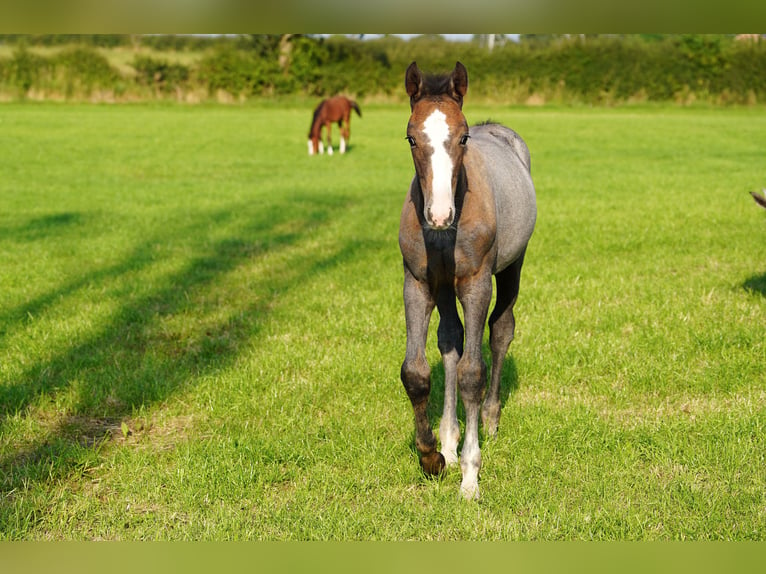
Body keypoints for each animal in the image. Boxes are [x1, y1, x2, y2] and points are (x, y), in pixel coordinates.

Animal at [400, 63, 536, 502]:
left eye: (462, 137)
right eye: (411, 136)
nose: (439, 215)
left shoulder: (477, 284)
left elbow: (473, 373)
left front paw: (471, 477)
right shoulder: (418, 282)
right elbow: (416, 372)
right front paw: (433, 456)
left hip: (511, 268)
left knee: (501, 330)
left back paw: (491, 419)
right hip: (445, 287)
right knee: (450, 340)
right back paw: (448, 440)